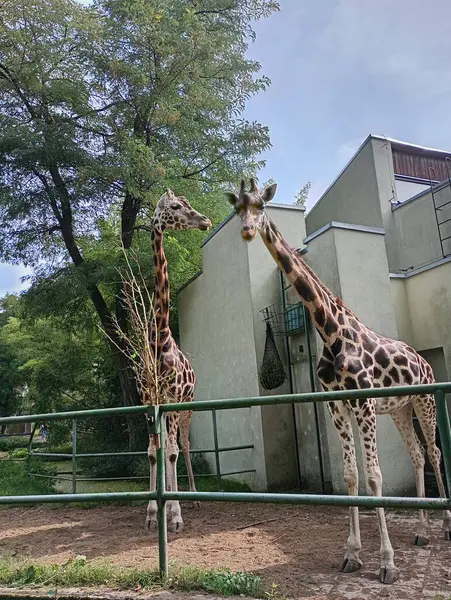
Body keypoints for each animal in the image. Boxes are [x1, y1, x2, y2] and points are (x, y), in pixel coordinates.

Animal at [226, 177, 451, 580]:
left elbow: (374, 476)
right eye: (237, 207)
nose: (248, 231)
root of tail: (425, 362)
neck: (329, 332)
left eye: (261, 206)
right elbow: (350, 476)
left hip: (424, 401)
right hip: (399, 410)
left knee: (434, 451)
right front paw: (352, 554)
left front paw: (387, 564)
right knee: (416, 454)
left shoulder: (363, 403)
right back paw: (423, 532)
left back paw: (443, 527)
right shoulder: (336, 406)